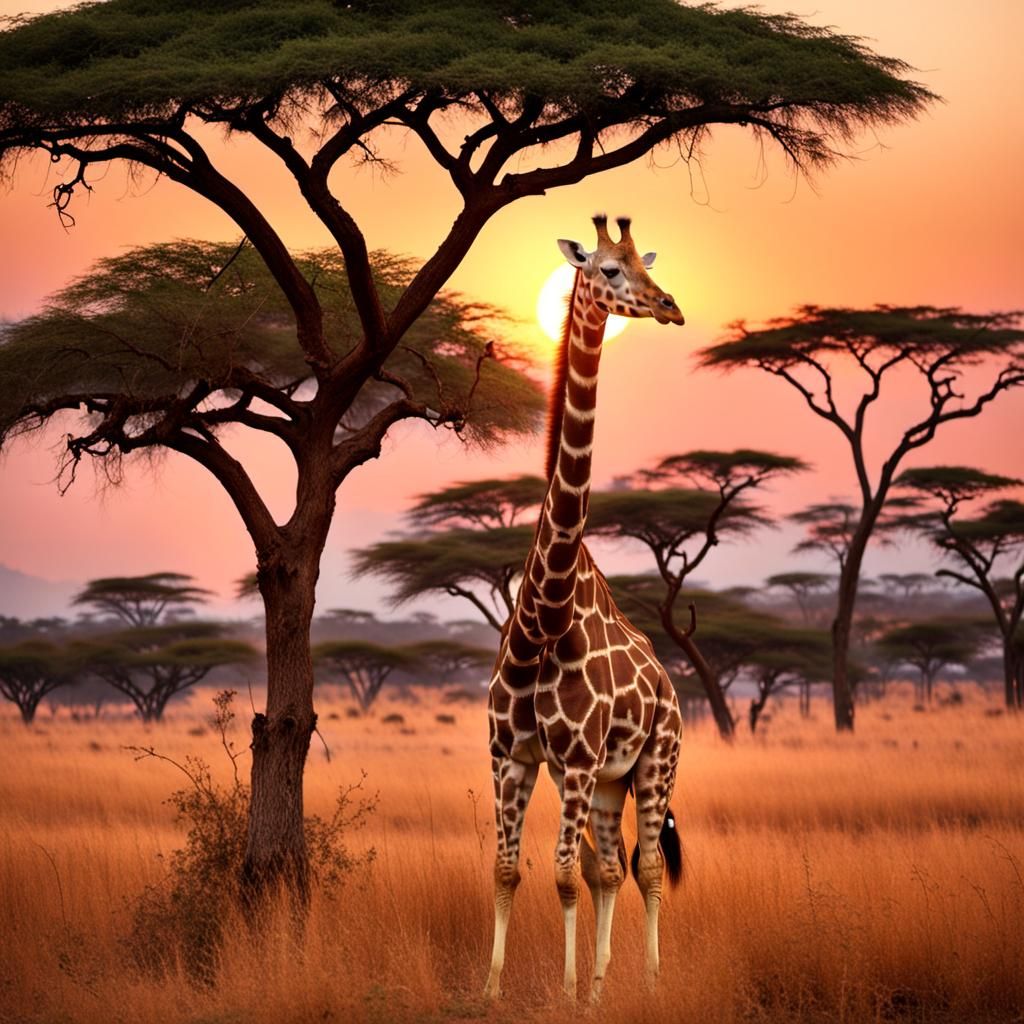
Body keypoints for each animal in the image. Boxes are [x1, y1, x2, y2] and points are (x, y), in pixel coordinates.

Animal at [485, 215, 685, 1003]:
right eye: (608, 268)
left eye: (644, 262)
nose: (669, 305)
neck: (543, 619)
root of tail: (670, 686)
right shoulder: (510, 757)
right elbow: (510, 871)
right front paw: (493, 990)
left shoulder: (569, 762)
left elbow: (563, 877)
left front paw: (568, 993)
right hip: (608, 782)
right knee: (612, 867)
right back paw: (603, 979)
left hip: (655, 761)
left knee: (647, 866)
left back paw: (649, 982)